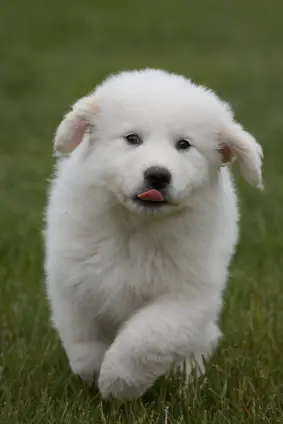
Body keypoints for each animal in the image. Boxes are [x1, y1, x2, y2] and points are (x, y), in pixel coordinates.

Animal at [44, 68, 264, 400]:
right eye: (132, 139)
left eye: (184, 145)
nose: (157, 175)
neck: (136, 229)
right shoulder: (73, 281)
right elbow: (83, 338)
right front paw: (93, 373)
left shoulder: (186, 296)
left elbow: (147, 337)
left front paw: (117, 383)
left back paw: (185, 376)